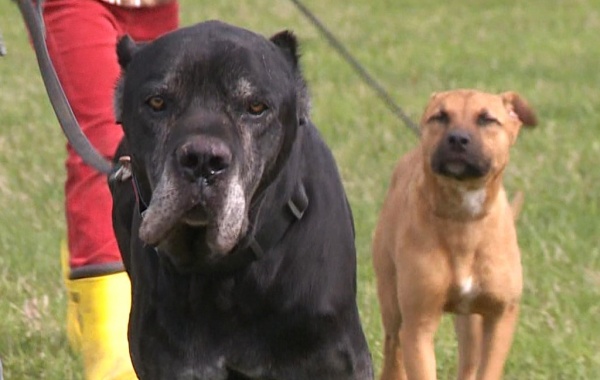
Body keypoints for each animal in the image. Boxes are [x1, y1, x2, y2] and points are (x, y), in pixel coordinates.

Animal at [372, 90, 536, 380]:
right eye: (440, 116)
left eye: (487, 119)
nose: (457, 138)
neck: (464, 218)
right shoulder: (418, 323)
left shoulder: (500, 317)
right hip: (392, 301)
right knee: (393, 352)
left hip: (470, 322)